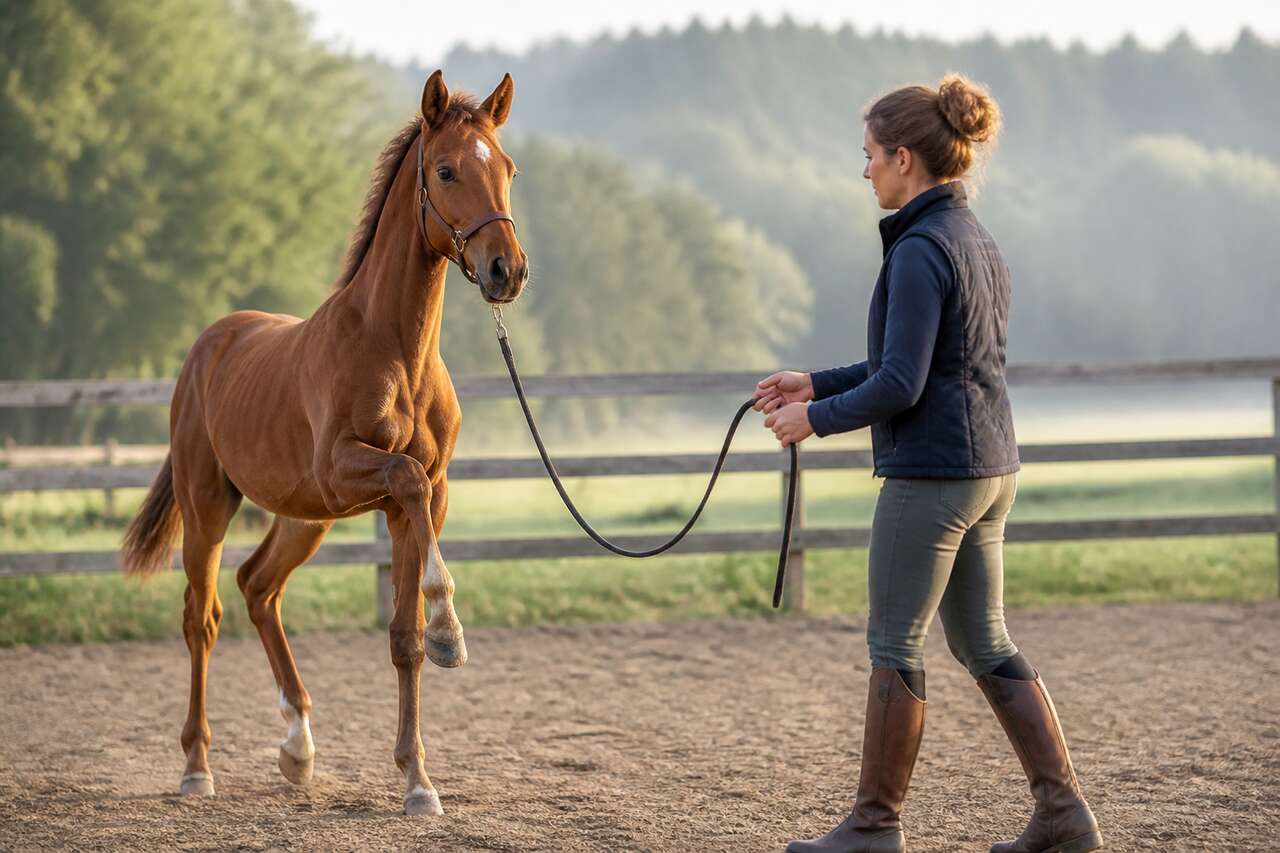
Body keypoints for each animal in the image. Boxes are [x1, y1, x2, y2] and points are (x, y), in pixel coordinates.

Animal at [120, 70, 528, 816]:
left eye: (507, 168)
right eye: (446, 170)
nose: (504, 271)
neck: (394, 352)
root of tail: (207, 347)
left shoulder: (420, 499)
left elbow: (403, 638)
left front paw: (418, 781)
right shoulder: (354, 473)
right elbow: (407, 482)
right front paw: (451, 629)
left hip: (303, 518)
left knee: (257, 588)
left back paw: (298, 747)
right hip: (209, 505)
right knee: (203, 615)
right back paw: (197, 767)